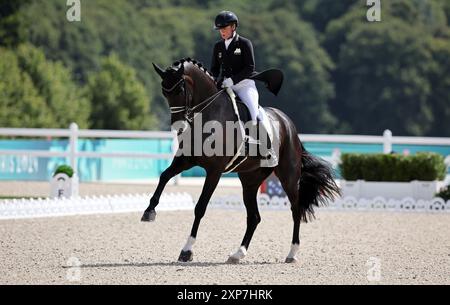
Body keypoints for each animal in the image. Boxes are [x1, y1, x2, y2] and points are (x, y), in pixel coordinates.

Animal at [142, 58, 340, 262]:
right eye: (164, 92)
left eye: (180, 90)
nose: (178, 125)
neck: (208, 115)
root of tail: (289, 125)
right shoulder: (185, 160)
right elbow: (164, 176)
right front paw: (149, 211)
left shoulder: (214, 171)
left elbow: (200, 207)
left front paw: (187, 250)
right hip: (250, 181)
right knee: (254, 217)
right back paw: (238, 253)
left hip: (289, 177)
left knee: (295, 209)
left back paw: (292, 253)